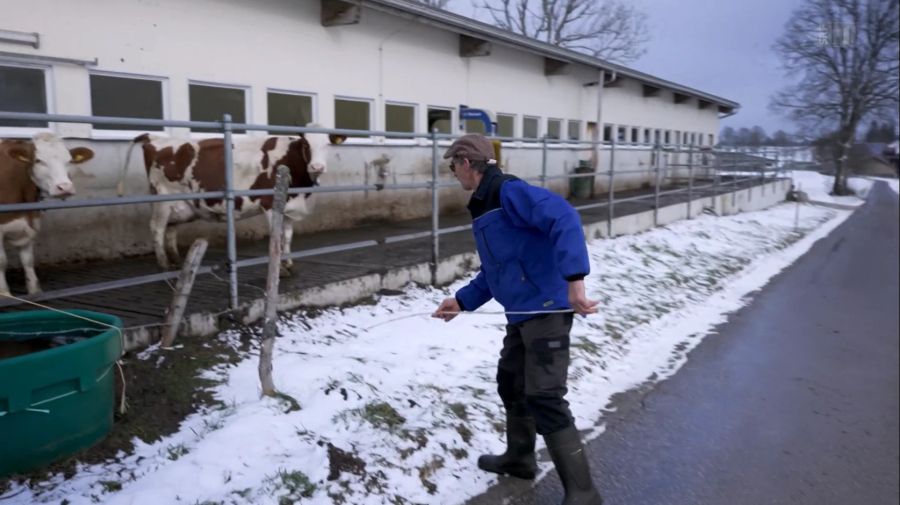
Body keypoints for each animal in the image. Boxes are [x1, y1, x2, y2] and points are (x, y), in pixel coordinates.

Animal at [0, 134, 95, 296]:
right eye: (38, 160)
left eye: (69, 160)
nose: (65, 187)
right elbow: (1, 261)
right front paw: (5, 293)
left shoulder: (29, 224)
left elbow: (28, 260)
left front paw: (35, 291)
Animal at [119, 128, 344, 274]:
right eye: (306, 144)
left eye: (327, 144)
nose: (317, 167)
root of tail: (155, 138)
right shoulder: (271, 204)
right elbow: (276, 238)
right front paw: (280, 269)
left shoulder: (290, 207)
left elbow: (287, 236)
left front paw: (288, 263)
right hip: (162, 199)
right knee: (157, 227)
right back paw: (164, 264)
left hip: (180, 204)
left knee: (171, 227)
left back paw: (176, 259)